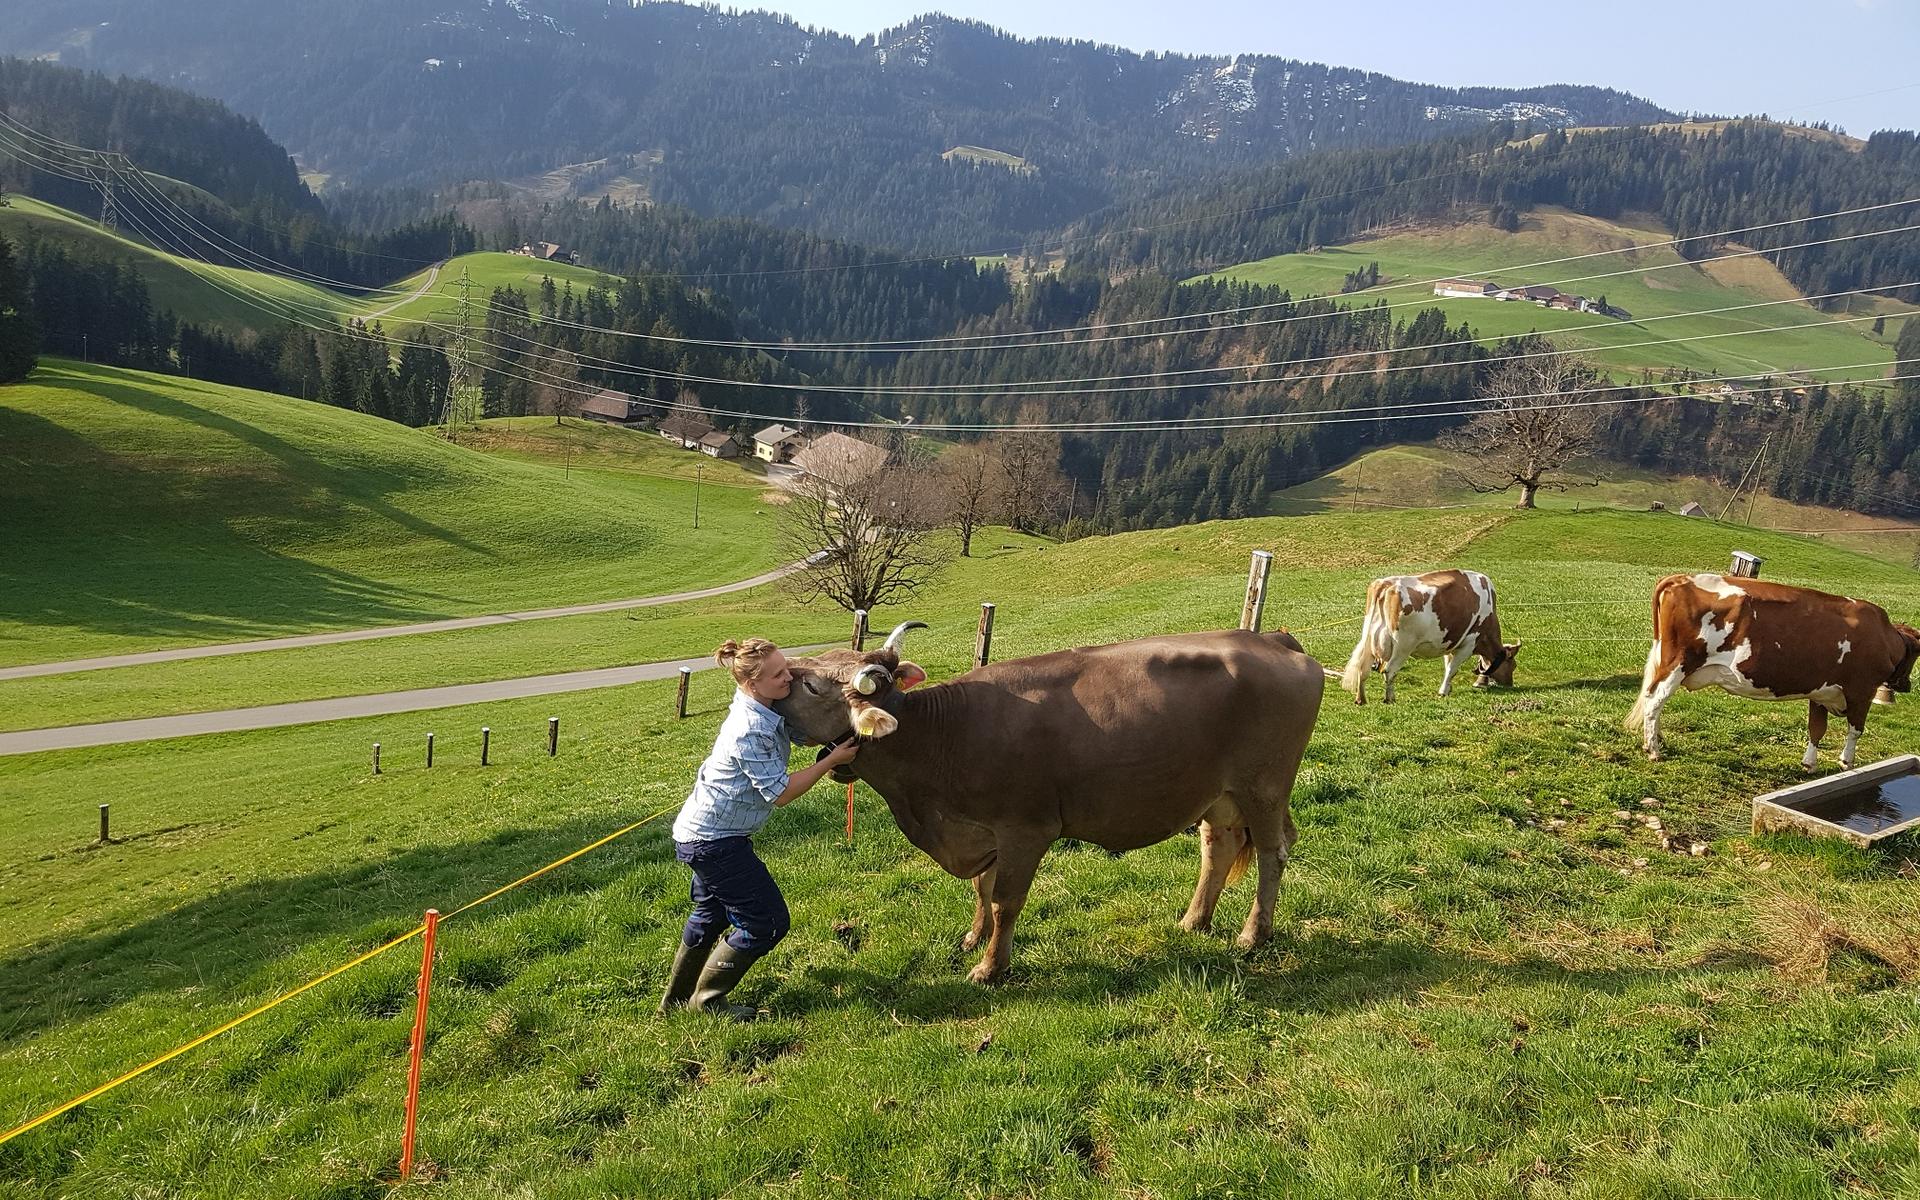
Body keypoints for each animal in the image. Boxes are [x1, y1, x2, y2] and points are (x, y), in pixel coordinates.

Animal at [773, 623, 1324, 984]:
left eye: (811, 685)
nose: (774, 677)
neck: (939, 737)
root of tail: (1271, 638)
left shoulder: (1025, 829)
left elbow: (1004, 899)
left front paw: (990, 967)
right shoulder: (986, 831)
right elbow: (981, 888)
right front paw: (974, 939)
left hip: (1264, 788)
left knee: (1273, 853)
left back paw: (1253, 934)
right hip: (1218, 796)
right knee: (1219, 848)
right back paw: (1194, 921)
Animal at [1339, 569, 1520, 705]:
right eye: (1513, 665)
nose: (1510, 684)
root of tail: (1386, 584)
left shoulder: (1449, 642)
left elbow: (1448, 666)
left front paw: (1448, 688)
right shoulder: (1468, 643)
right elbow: (1452, 669)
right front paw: (1443, 691)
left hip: (1369, 641)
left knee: (1362, 669)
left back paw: (1361, 699)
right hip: (1403, 646)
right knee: (1389, 670)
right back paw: (1390, 698)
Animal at [1625, 573, 1919, 769]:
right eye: (1918, 654)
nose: (1907, 685)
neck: (1885, 636)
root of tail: (1681, 578)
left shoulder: (1821, 692)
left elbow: (1816, 729)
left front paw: (1809, 763)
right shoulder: (1862, 691)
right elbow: (1856, 730)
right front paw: (1846, 762)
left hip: (1666, 662)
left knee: (1655, 700)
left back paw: (1659, 740)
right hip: (1679, 663)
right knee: (1655, 701)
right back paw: (1653, 749)